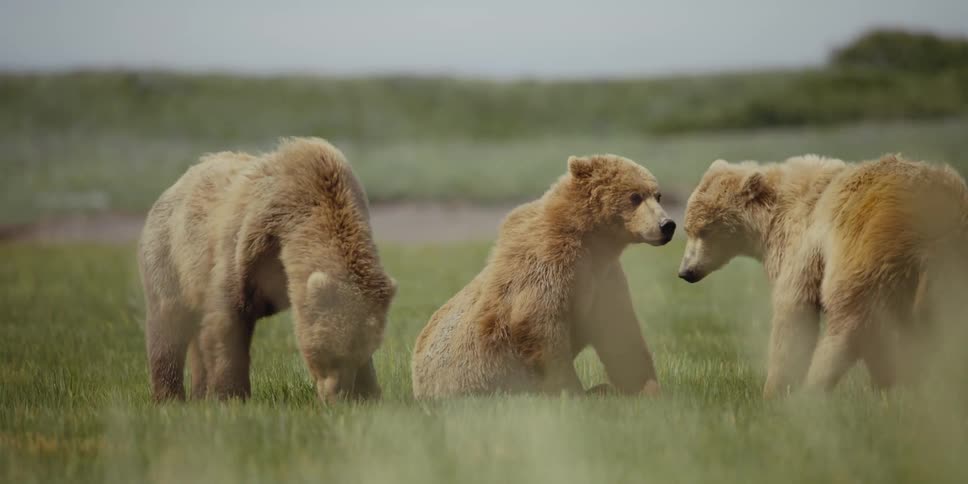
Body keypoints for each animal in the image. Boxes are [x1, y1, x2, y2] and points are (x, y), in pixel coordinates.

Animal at [138, 137, 396, 403]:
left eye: (359, 352)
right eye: (332, 354)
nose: (337, 397)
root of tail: (174, 185)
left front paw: (368, 392)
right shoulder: (247, 242)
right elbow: (227, 319)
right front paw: (231, 396)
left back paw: (199, 395)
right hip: (170, 256)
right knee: (168, 324)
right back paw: (169, 397)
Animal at [411, 154, 674, 398]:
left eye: (657, 195)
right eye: (634, 196)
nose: (667, 225)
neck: (592, 240)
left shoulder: (604, 278)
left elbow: (620, 331)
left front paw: (648, 389)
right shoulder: (549, 265)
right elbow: (542, 328)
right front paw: (572, 391)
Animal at [677, 154, 968, 397]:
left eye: (704, 230)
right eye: (688, 228)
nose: (685, 271)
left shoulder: (800, 244)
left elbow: (794, 310)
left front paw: (774, 390)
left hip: (866, 250)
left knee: (850, 319)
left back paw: (815, 388)